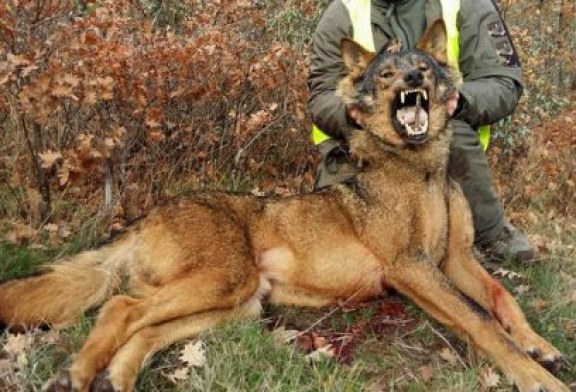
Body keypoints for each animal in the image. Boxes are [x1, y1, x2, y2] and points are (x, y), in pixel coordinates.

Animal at [0, 21, 568, 392]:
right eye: (387, 75)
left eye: (422, 68)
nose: (414, 82)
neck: (419, 168)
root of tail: (148, 216)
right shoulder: (412, 267)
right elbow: (482, 322)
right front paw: (537, 377)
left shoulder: (455, 260)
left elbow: (502, 300)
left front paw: (539, 344)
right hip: (223, 283)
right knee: (119, 306)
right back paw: (77, 373)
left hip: (238, 303)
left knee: (141, 327)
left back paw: (113, 377)